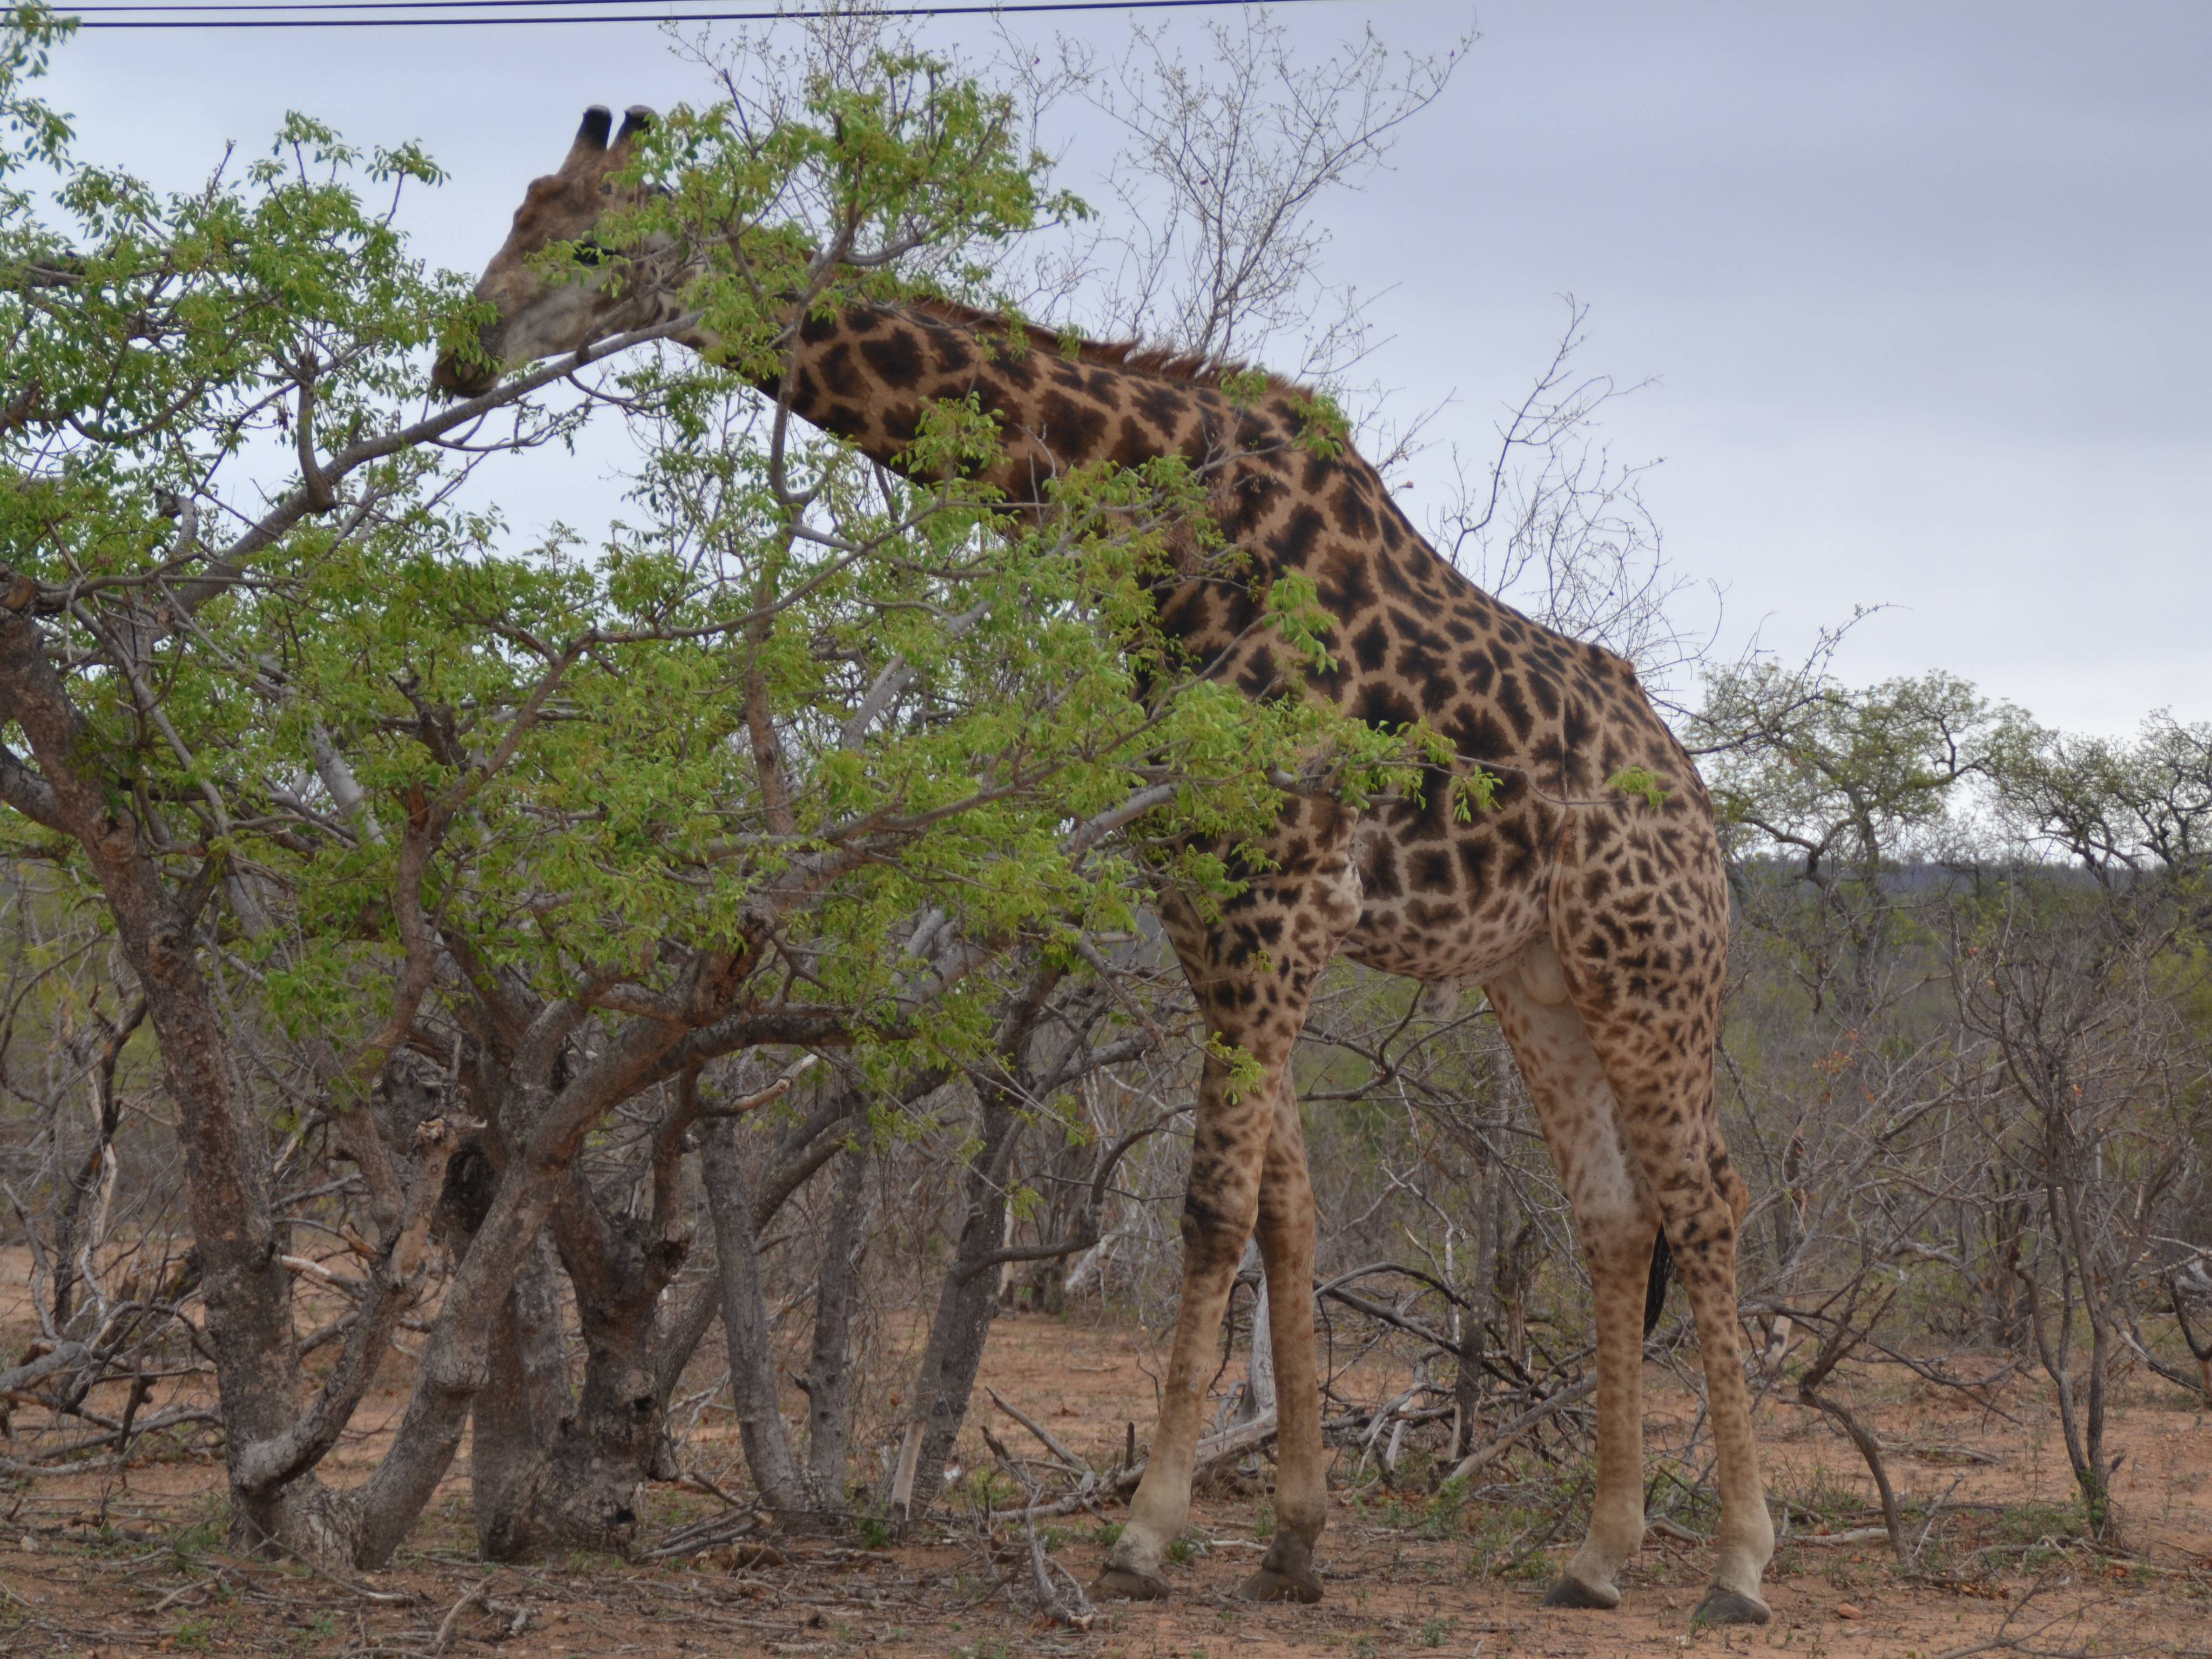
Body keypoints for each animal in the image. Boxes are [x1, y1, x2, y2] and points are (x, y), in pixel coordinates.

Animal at [433, 106, 1775, 1626]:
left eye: (591, 248)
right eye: (517, 218)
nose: (458, 354)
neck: (1156, 533)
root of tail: (1695, 800)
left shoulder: (1274, 896)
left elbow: (1207, 1207)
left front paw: (1147, 1531)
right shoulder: (1207, 901)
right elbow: (1282, 1211)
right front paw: (1293, 1537)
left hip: (1650, 966)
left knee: (1705, 1202)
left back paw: (1736, 1562)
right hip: (1537, 978)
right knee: (1612, 1218)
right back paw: (1600, 1554)